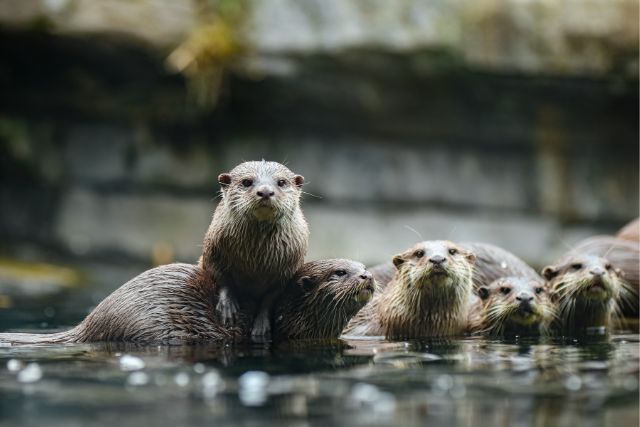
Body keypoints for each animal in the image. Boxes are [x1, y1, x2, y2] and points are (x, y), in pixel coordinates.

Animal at [200, 159, 310, 336]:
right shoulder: (212, 252)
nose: (265, 191)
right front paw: (227, 307)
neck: (255, 263)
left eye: (281, 182)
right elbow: (221, 278)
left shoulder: (288, 270)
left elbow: (270, 297)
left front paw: (261, 325)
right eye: (247, 182)